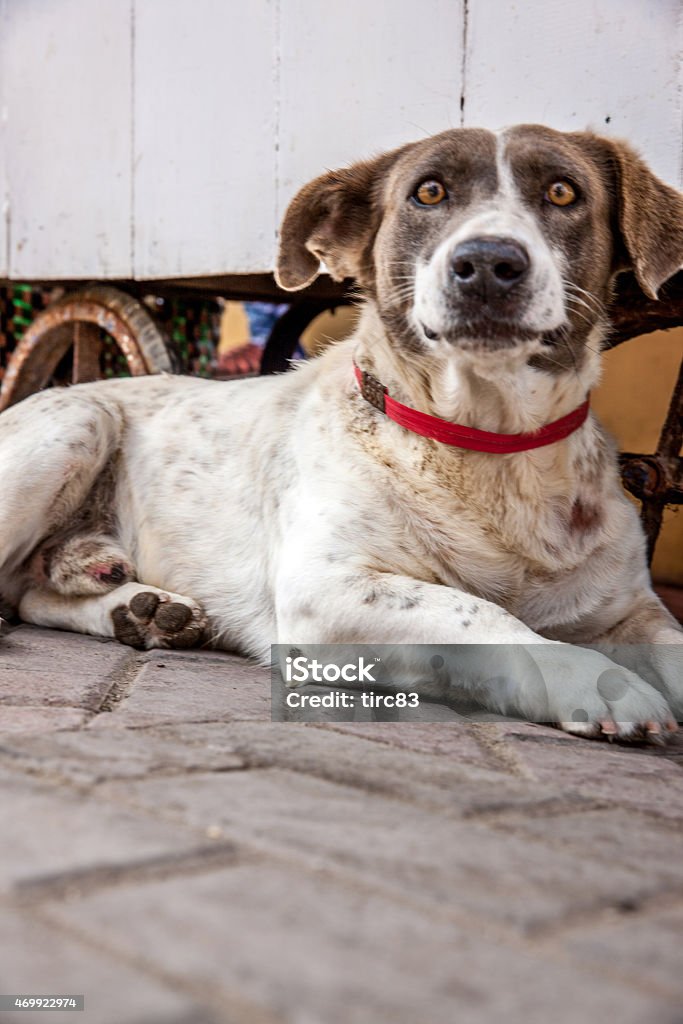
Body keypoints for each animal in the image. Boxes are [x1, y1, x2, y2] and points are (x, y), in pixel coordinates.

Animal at [1, 123, 683, 741]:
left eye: (563, 193)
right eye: (429, 192)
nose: (489, 262)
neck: (490, 449)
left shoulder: (631, 607)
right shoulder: (324, 591)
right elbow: (479, 611)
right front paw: (594, 678)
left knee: (28, 592)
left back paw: (139, 609)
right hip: (79, 420)